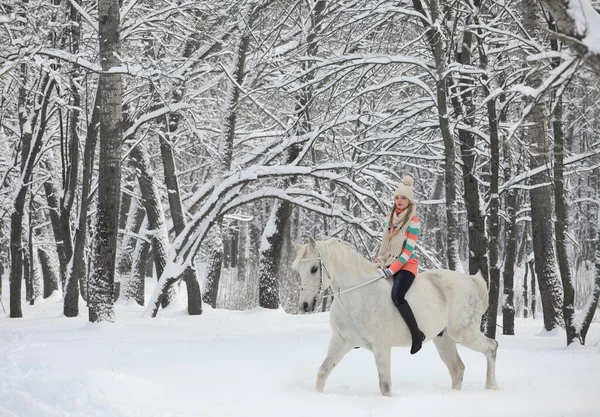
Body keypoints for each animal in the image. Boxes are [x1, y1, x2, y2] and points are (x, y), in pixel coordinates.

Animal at [292, 237, 500, 396]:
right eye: (299, 271)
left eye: (314, 269)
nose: (304, 305)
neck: (357, 296)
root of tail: (471, 281)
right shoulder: (341, 341)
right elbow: (323, 372)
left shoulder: (381, 347)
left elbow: (385, 385)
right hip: (444, 339)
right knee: (457, 369)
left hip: (464, 334)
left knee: (491, 347)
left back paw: (491, 387)